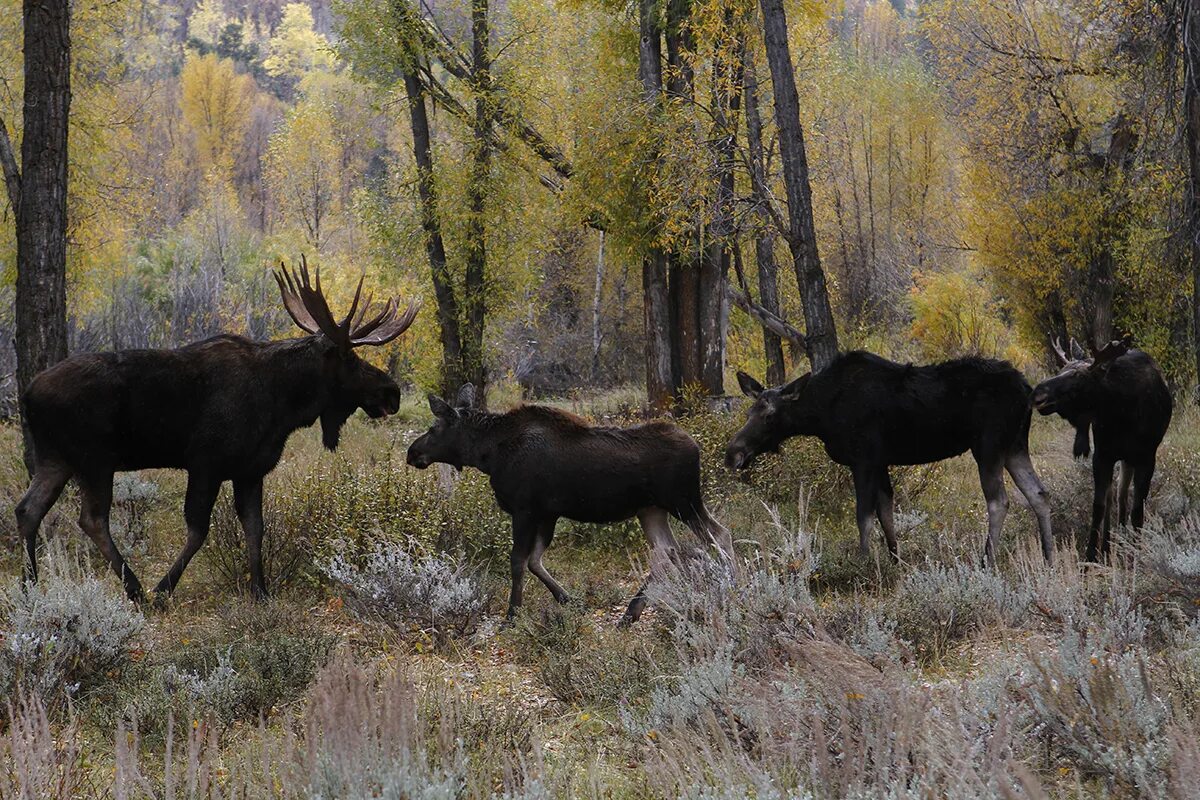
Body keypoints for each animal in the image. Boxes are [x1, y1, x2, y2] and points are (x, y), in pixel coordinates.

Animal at [15, 260, 422, 604]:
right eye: (351, 358)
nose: (392, 392)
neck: (283, 407)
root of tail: (28, 393)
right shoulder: (205, 462)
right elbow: (199, 530)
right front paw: (163, 589)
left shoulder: (250, 470)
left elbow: (256, 529)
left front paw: (261, 591)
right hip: (95, 459)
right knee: (92, 518)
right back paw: (135, 589)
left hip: (55, 459)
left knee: (28, 510)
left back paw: (29, 587)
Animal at [408, 388, 734, 623]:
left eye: (434, 428)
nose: (412, 452)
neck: (489, 454)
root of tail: (697, 446)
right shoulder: (547, 513)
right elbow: (535, 560)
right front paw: (568, 600)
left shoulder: (524, 510)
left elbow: (517, 561)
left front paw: (512, 615)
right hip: (651, 510)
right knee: (667, 552)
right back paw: (631, 612)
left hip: (684, 501)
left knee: (719, 534)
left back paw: (731, 586)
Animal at [1032, 335, 1171, 561]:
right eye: (1062, 370)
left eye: (1079, 377)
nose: (1038, 394)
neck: (1122, 415)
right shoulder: (1102, 455)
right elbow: (1099, 506)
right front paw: (1090, 556)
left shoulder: (1147, 458)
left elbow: (1137, 510)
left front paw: (1136, 553)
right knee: (1113, 495)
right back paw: (1108, 545)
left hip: (1129, 459)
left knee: (1122, 495)